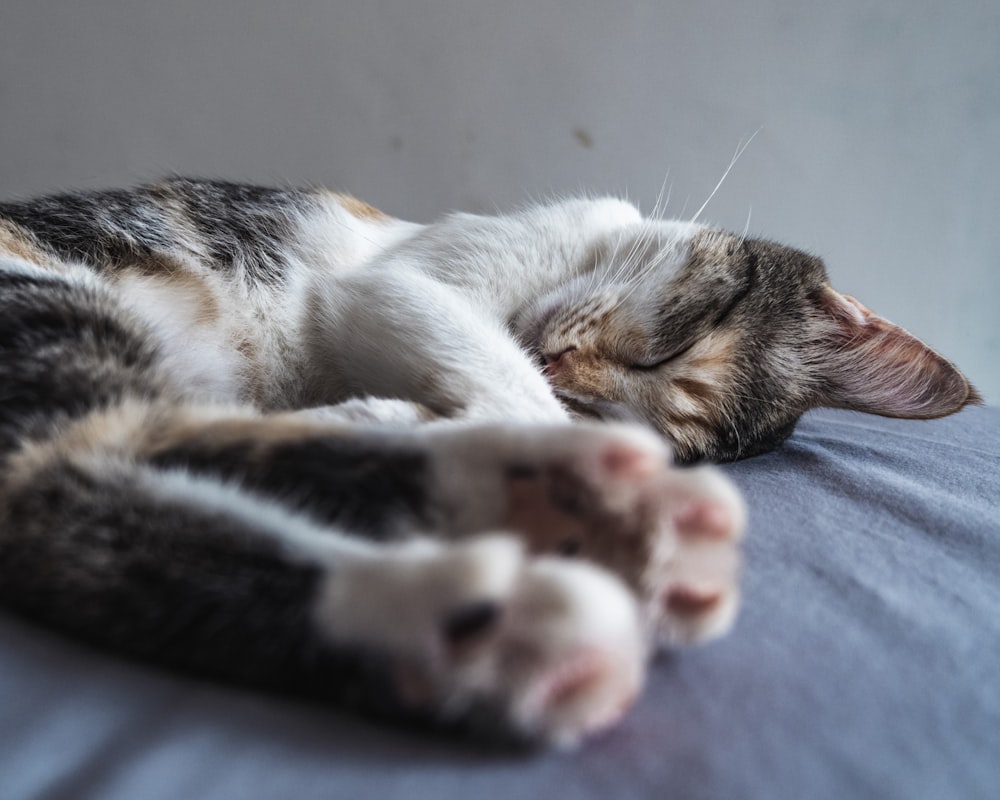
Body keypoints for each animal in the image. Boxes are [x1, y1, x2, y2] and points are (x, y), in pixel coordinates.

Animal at [0, 178, 976, 748]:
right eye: (670, 348)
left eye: (617, 400)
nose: (560, 363)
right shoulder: (398, 279)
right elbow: (499, 375)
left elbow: (497, 390)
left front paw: (396, 410)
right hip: (41, 291)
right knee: (67, 482)